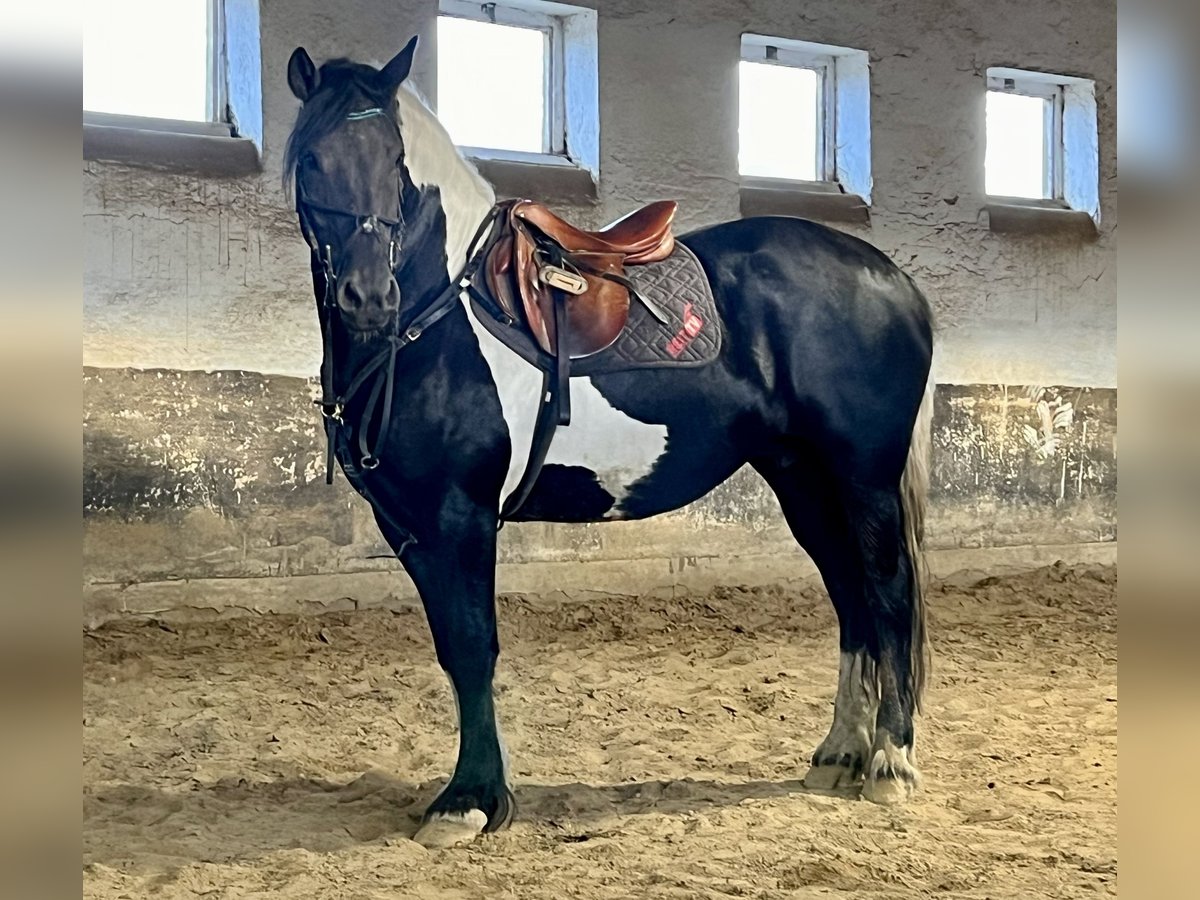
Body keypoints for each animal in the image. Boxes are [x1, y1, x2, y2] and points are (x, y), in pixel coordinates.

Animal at [283, 37, 936, 854]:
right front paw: (474, 795)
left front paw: (470, 801)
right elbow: (452, 650)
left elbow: (472, 645)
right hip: (803, 480)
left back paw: (891, 763)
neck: (436, 321)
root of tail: (890, 278)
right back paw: (839, 754)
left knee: (889, 594)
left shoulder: (460, 518)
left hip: (862, 477)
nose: (369, 297)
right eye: (313, 158)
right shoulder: (409, 526)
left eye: (394, 160)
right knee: (851, 598)